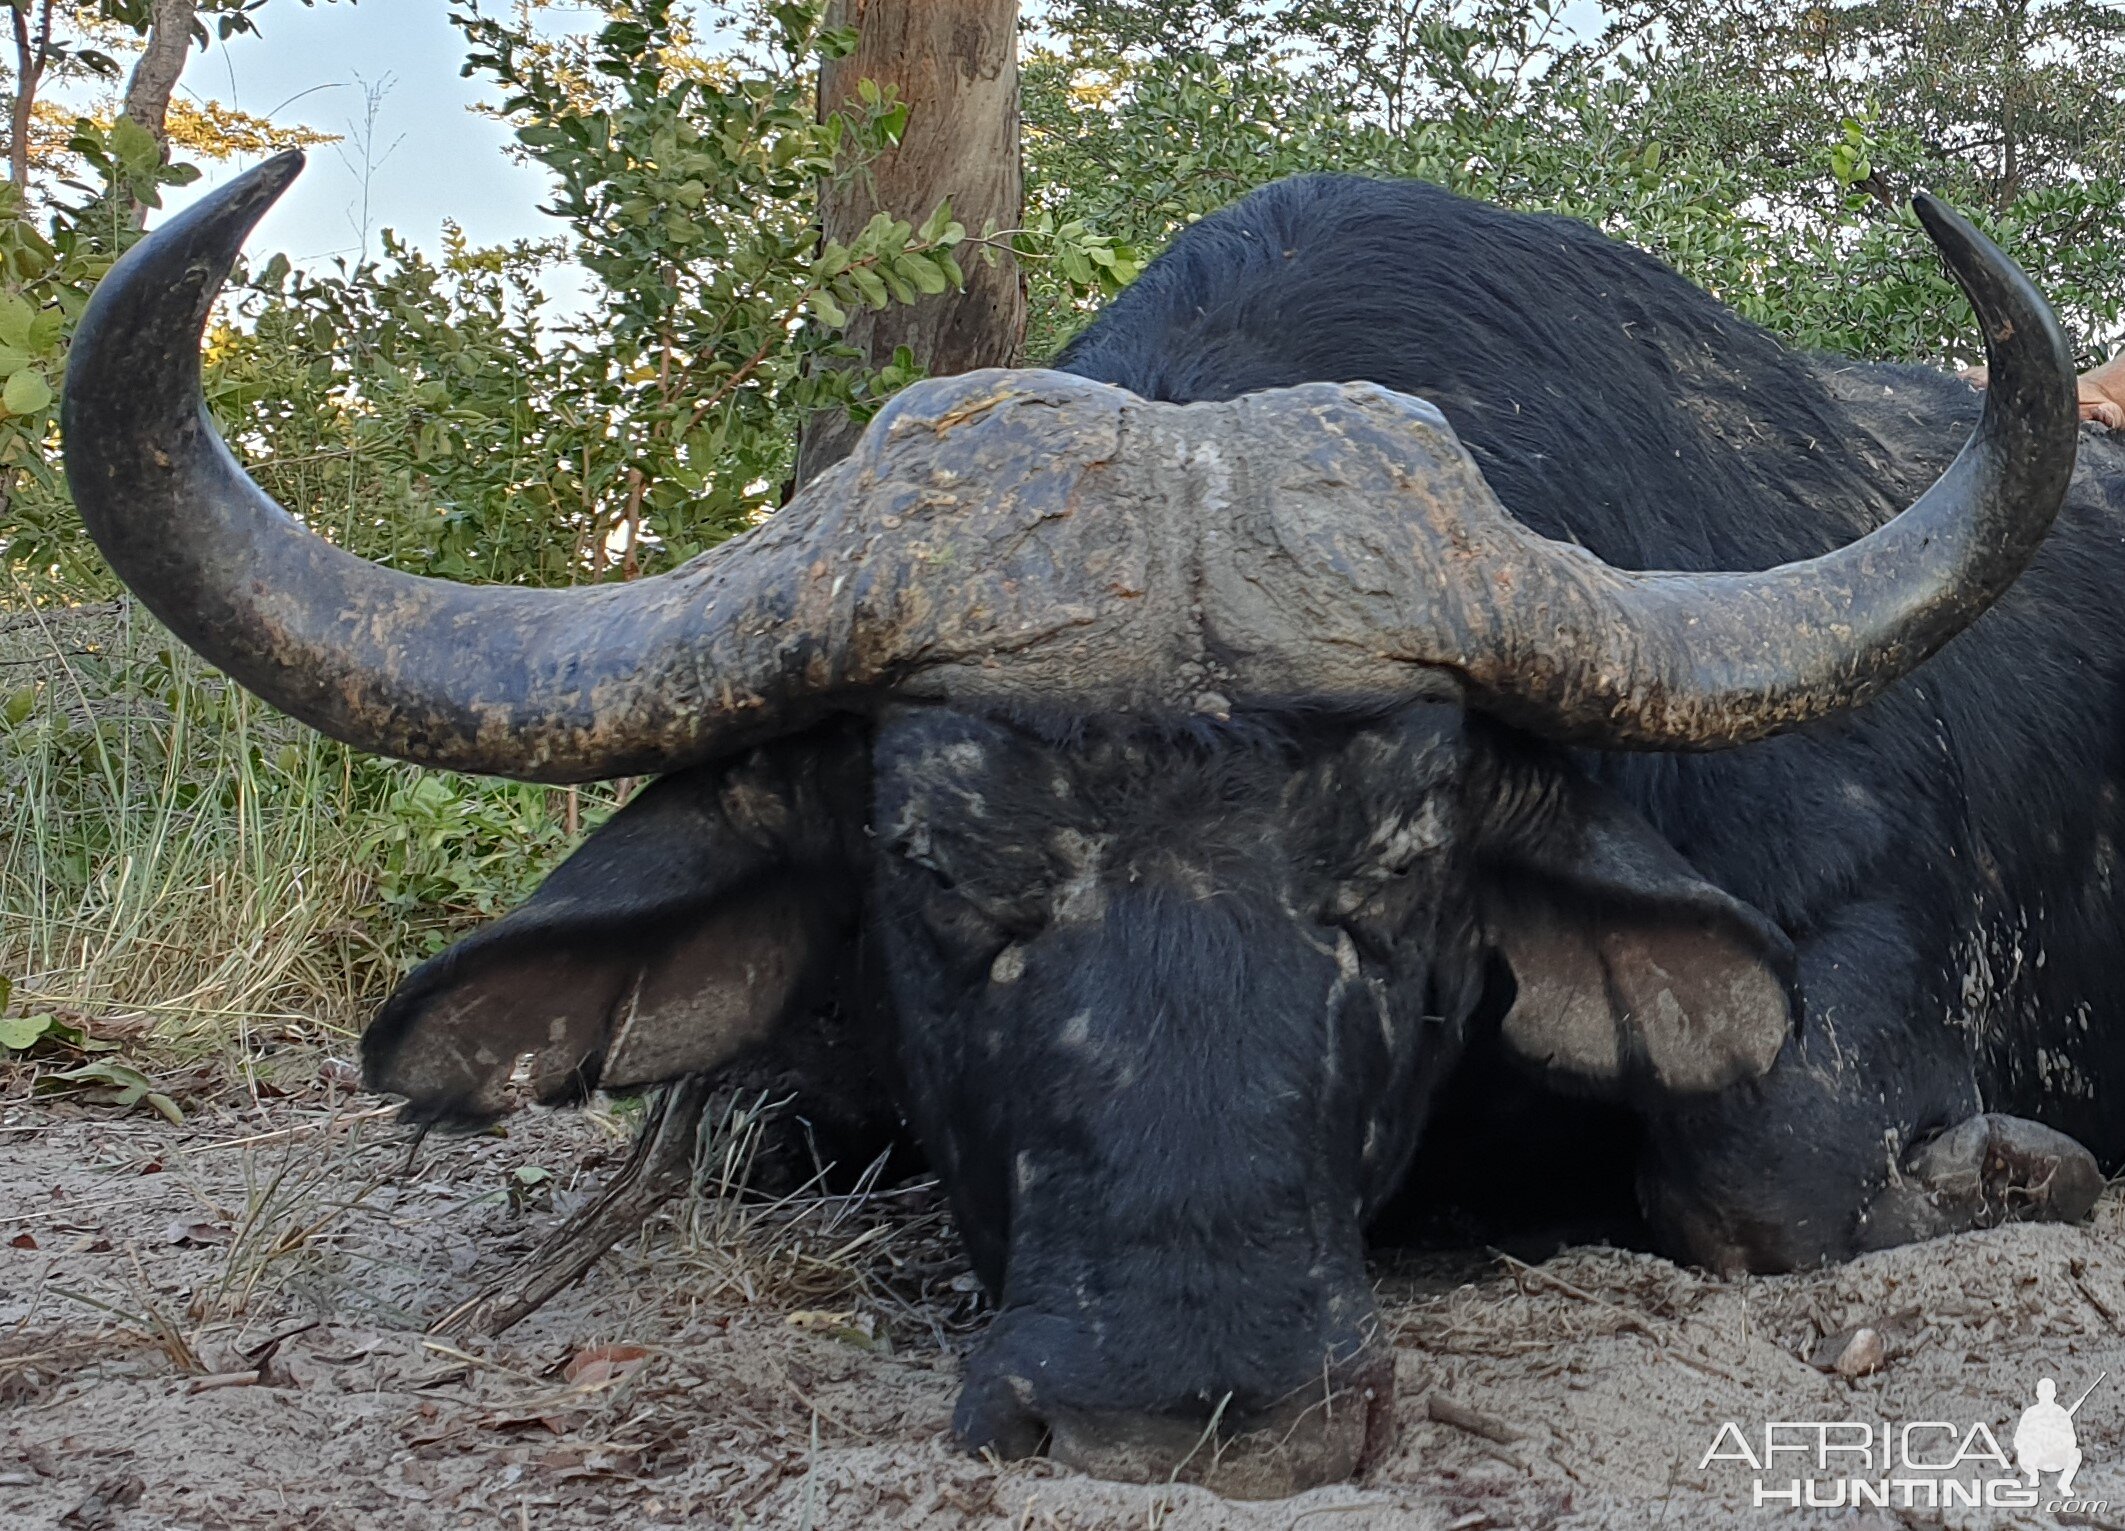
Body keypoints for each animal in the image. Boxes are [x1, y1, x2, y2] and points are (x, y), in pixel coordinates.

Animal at [66, 158, 2108, 1496]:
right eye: (929, 863)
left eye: (1407, 868)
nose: (1177, 1402)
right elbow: (718, 1127)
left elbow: (1768, 1184)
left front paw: (2017, 1168)